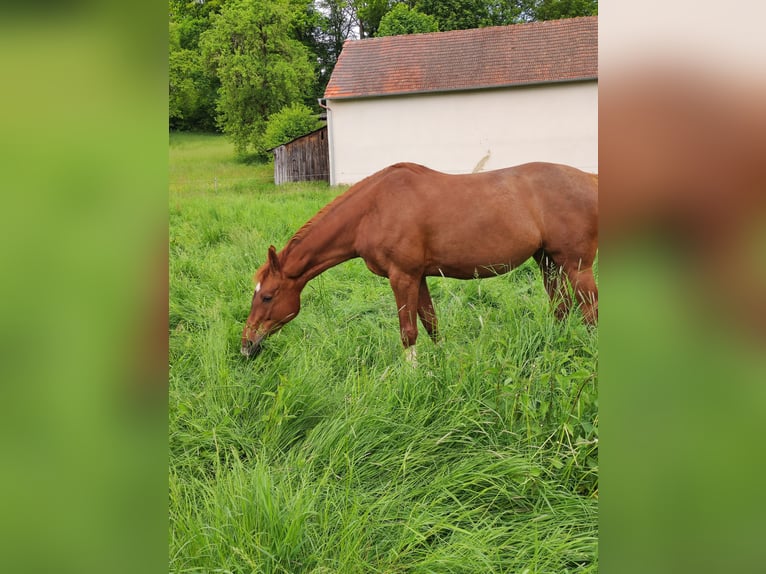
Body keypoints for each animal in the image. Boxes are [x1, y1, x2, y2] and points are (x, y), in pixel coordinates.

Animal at [240, 162, 600, 360]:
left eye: (267, 296)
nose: (246, 345)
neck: (373, 209)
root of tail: (590, 179)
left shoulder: (402, 277)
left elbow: (408, 332)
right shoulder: (419, 277)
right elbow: (431, 324)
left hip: (577, 266)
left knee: (589, 311)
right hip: (548, 261)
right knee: (561, 307)